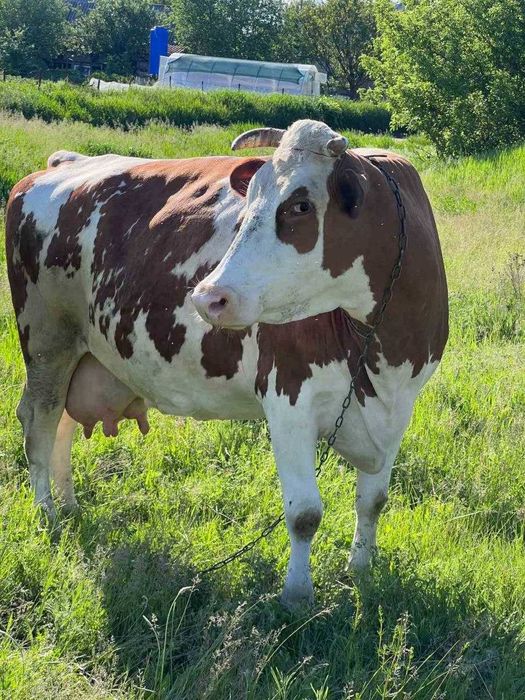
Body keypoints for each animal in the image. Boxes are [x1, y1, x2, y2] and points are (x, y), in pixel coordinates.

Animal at [5, 119, 448, 607]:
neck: (382, 348)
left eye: (300, 205)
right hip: (47, 342)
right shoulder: (289, 397)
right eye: (249, 198)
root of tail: (61, 163)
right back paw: (48, 514)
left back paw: (68, 505)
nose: (206, 297)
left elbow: (374, 500)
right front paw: (297, 595)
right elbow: (305, 514)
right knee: (39, 423)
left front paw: (361, 571)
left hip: (84, 352)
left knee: (63, 423)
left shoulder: (400, 405)